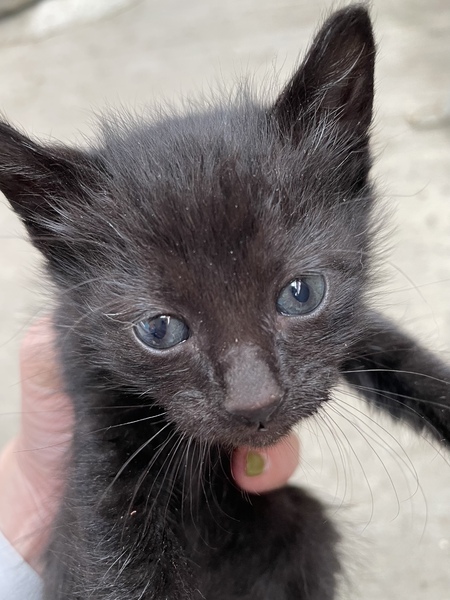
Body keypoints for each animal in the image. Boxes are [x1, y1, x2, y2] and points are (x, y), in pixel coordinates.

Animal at [1, 4, 449, 599]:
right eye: (159, 329)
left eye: (301, 293)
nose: (254, 403)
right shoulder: (98, 419)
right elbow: (111, 561)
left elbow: (399, 352)